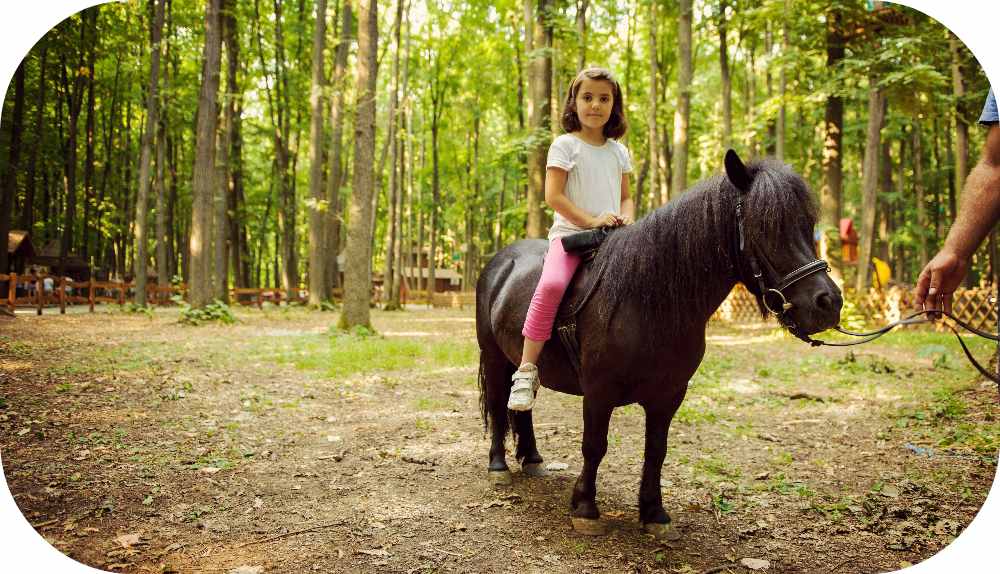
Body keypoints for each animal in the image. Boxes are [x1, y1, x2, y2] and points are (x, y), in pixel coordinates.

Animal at [476, 151, 844, 536]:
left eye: (807, 224)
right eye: (765, 228)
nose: (828, 303)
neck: (646, 300)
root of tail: (502, 261)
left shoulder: (669, 395)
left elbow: (657, 450)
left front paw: (654, 512)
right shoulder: (599, 391)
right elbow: (594, 446)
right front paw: (586, 507)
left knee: (523, 406)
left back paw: (532, 459)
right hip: (494, 356)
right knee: (500, 404)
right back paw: (498, 466)